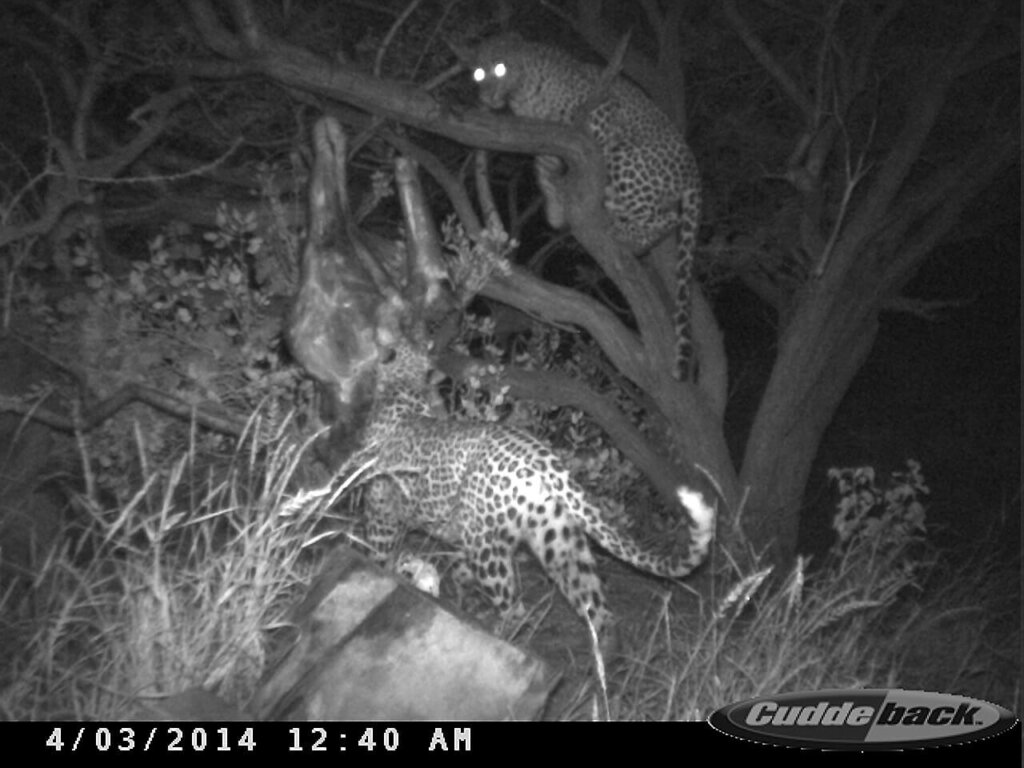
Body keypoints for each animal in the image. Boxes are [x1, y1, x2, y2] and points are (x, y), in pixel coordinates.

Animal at [356, 342, 716, 643]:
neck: (403, 388)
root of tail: (542, 457)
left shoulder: (380, 510)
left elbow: (379, 555)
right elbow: (456, 569)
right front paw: (456, 592)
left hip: (491, 547)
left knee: (514, 605)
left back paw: (500, 635)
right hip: (558, 537)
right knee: (596, 608)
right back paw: (606, 667)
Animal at [473, 36, 704, 382]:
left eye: (500, 68)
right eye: (478, 72)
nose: (485, 95)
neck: (523, 94)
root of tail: (694, 175)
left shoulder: (600, 110)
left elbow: (587, 135)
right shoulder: (544, 139)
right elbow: (543, 167)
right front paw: (556, 210)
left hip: (629, 161)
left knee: (667, 217)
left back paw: (627, 237)